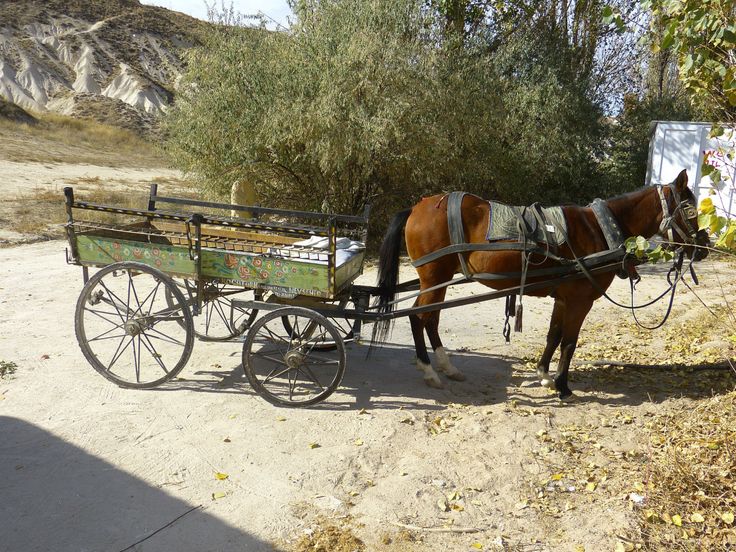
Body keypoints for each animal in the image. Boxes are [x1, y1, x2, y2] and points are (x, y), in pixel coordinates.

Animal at [374, 170, 708, 398]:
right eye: (690, 209)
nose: (703, 248)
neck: (600, 229)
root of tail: (417, 207)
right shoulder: (579, 300)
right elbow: (570, 342)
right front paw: (562, 386)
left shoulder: (564, 298)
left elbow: (553, 336)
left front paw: (544, 374)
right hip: (434, 277)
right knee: (418, 317)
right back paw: (429, 370)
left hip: (437, 280)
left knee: (429, 319)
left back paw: (446, 366)